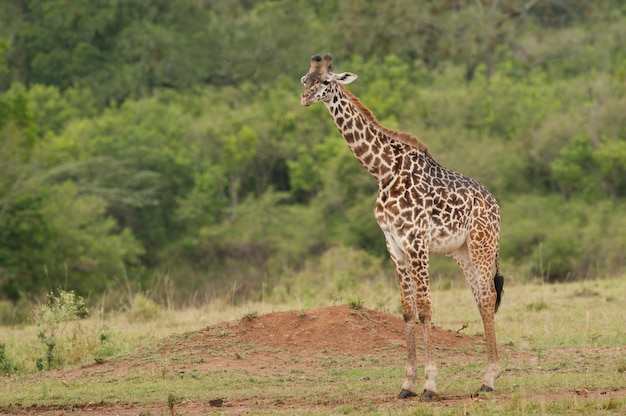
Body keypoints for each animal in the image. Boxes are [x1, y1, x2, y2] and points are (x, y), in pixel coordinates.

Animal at [298, 53, 502, 398]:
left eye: (326, 81)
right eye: (305, 79)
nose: (304, 97)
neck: (383, 172)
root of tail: (495, 205)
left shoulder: (416, 241)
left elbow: (425, 308)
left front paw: (430, 384)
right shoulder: (393, 243)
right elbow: (407, 310)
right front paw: (407, 385)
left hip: (482, 243)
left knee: (487, 297)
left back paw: (489, 380)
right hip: (460, 251)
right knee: (480, 298)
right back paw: (488, 376)